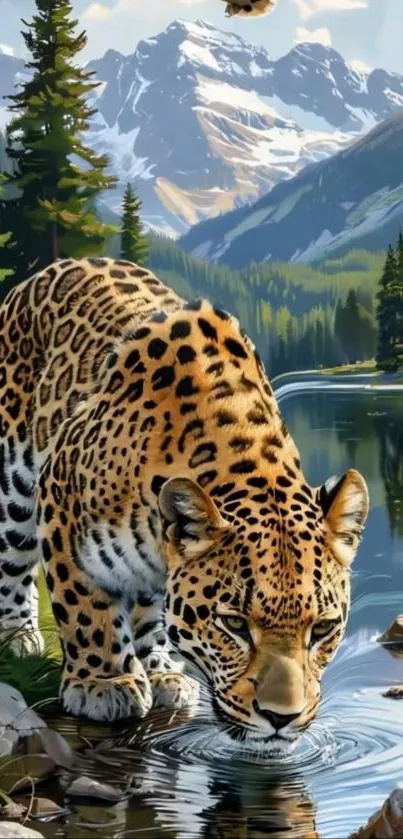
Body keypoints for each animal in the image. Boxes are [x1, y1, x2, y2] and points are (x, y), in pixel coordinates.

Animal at [0, 256, 369, 749]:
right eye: (234, 624)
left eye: (323, 629)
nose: (281, 718)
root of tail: (56, 266)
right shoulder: (60, 496)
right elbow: (85, 607)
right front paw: (104, 683)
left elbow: (150, 613)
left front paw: (153, 671)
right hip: (14, 486)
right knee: (12, 560)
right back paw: (16, 636)